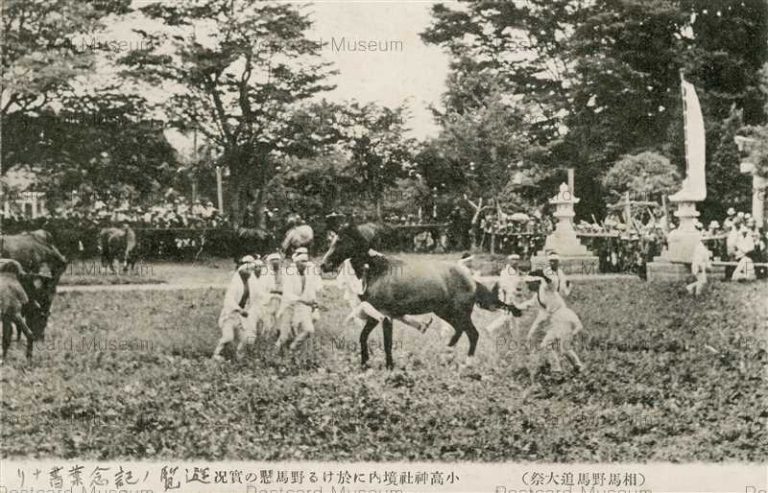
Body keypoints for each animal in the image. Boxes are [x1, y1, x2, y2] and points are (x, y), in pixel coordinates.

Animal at [318, 221, 520, 368]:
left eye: (340, 241)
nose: (323, 265)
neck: (377, 271)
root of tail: (471, 279)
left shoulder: (386, 316)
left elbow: (387, 342)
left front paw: (390, 367)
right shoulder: (375, 315)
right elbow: (363, 337)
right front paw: (364, 363)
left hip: (460, 313)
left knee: (472, 333)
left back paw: (464, 362)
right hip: (445, 312)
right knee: (461, 331)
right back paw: (446, 356)